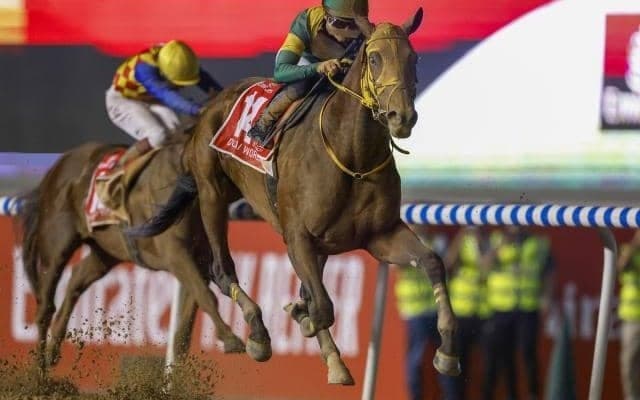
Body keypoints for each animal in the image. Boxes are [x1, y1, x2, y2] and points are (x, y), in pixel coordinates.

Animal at [18, 134, 274, 372]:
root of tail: (57, 167)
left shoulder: (199, 260)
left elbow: (187, 321)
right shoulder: (176, 254)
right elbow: (206, 296)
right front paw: (231, 339)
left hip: (106, 252)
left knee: (77, 278)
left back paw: (53, 351)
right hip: (57, 243)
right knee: (45, 305)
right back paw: (40, 370)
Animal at [129, 9, 461, 384]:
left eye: (413, 58)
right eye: (374, 58)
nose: (402, 117)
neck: (353, 157)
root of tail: (212, 105)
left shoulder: (381, 235)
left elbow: (431, 262)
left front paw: (447, 352)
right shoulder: (298, 237)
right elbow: (323, 306)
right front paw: (305, 323)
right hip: (211, 192)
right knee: (220, 269)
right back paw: (258, 334)